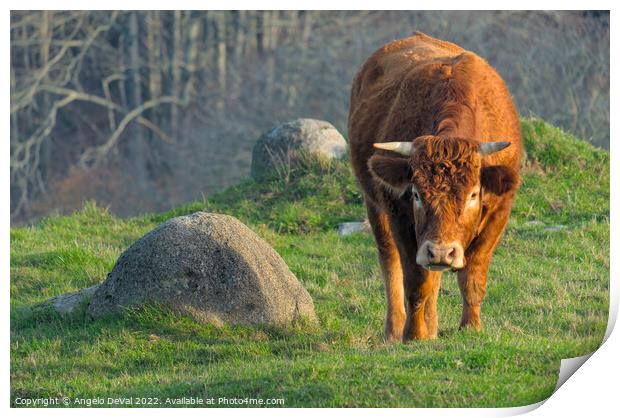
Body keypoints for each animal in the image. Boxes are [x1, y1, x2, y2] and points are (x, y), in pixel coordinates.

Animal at [352, 31, 520, 342]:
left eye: (473, 194)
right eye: (416, 194)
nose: (441, 252)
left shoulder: (498, 213)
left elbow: (472, 276)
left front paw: (471, 327)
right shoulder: (402, 218)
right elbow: (416, 282)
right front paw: (414, 335)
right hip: (375, 206)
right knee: (390, 262)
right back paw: (395, 330)